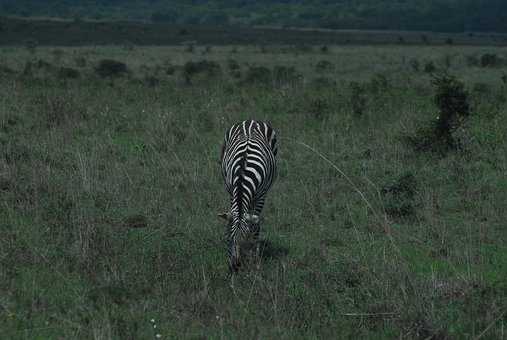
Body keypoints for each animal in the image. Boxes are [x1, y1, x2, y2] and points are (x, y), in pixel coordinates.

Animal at [220, 119, 280, 270]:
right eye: (228, 240)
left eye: (244, 240)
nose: (235, 267)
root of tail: (250, 121)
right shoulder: (232, 191)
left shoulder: (261, 196)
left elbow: (256, 226)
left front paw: (255, 259)